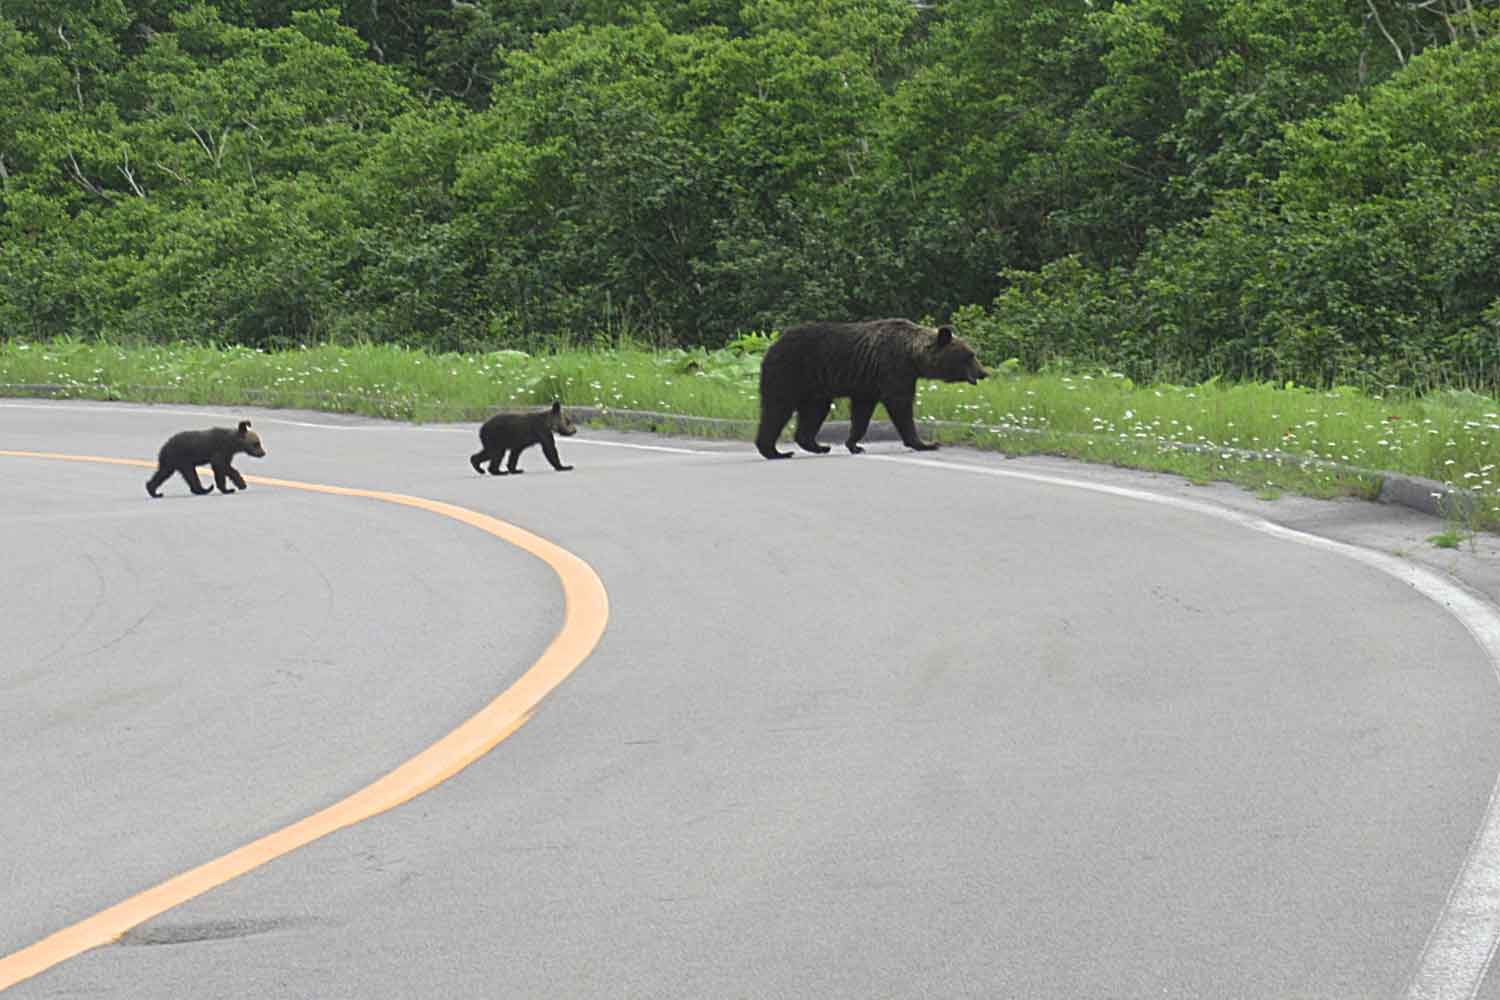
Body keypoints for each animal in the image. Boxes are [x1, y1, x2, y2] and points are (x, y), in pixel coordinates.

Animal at [756, 316, 990, 461]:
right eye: (970, 355)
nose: (983, 372)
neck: (913, 357)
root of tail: (771, 346)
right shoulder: (894, 369)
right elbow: (900, 405)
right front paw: (925, 442)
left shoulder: (867, 384)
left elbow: (862, 413)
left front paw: (854, 444)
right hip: (789, 373)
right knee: (776, 409)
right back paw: (775, 451)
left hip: (815, 388)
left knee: (813, 412)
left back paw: (819, 445)